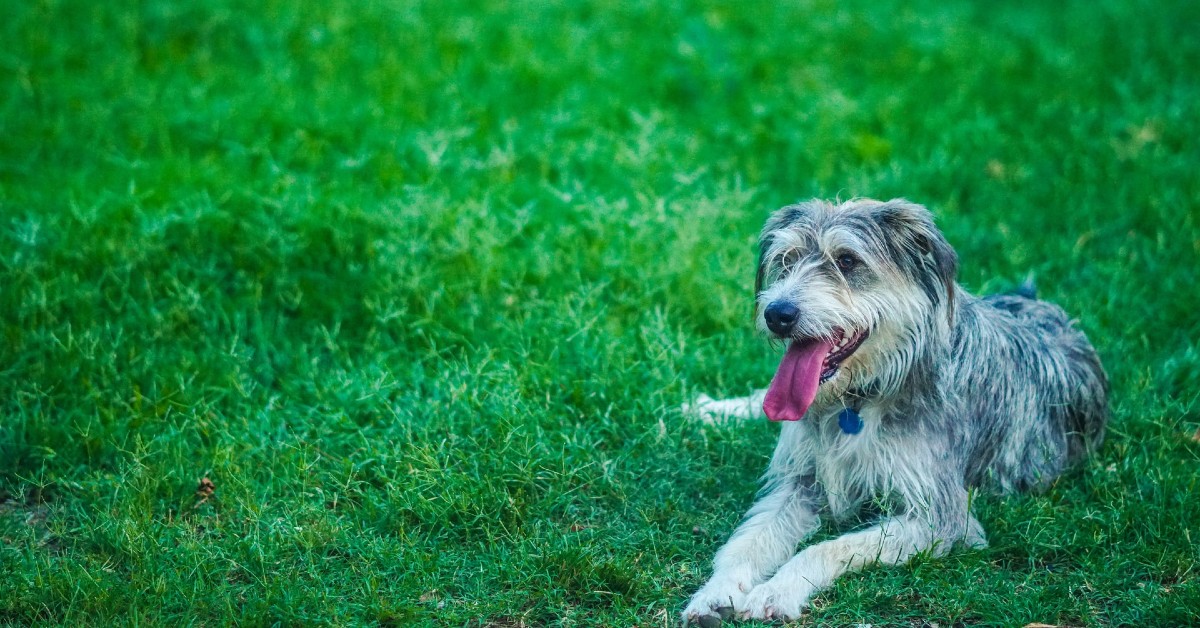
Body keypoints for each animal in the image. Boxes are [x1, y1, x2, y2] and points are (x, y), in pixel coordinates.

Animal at [681, 198, 1108, 624]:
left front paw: (777, 590)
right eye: (787, 259)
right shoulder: (797, 482)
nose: (776, 313)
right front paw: (714, 593)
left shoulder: (942, 516)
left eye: (847, 260)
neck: (861, 397)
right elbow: (746, 543)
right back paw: (708, 409)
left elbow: (827, 547)